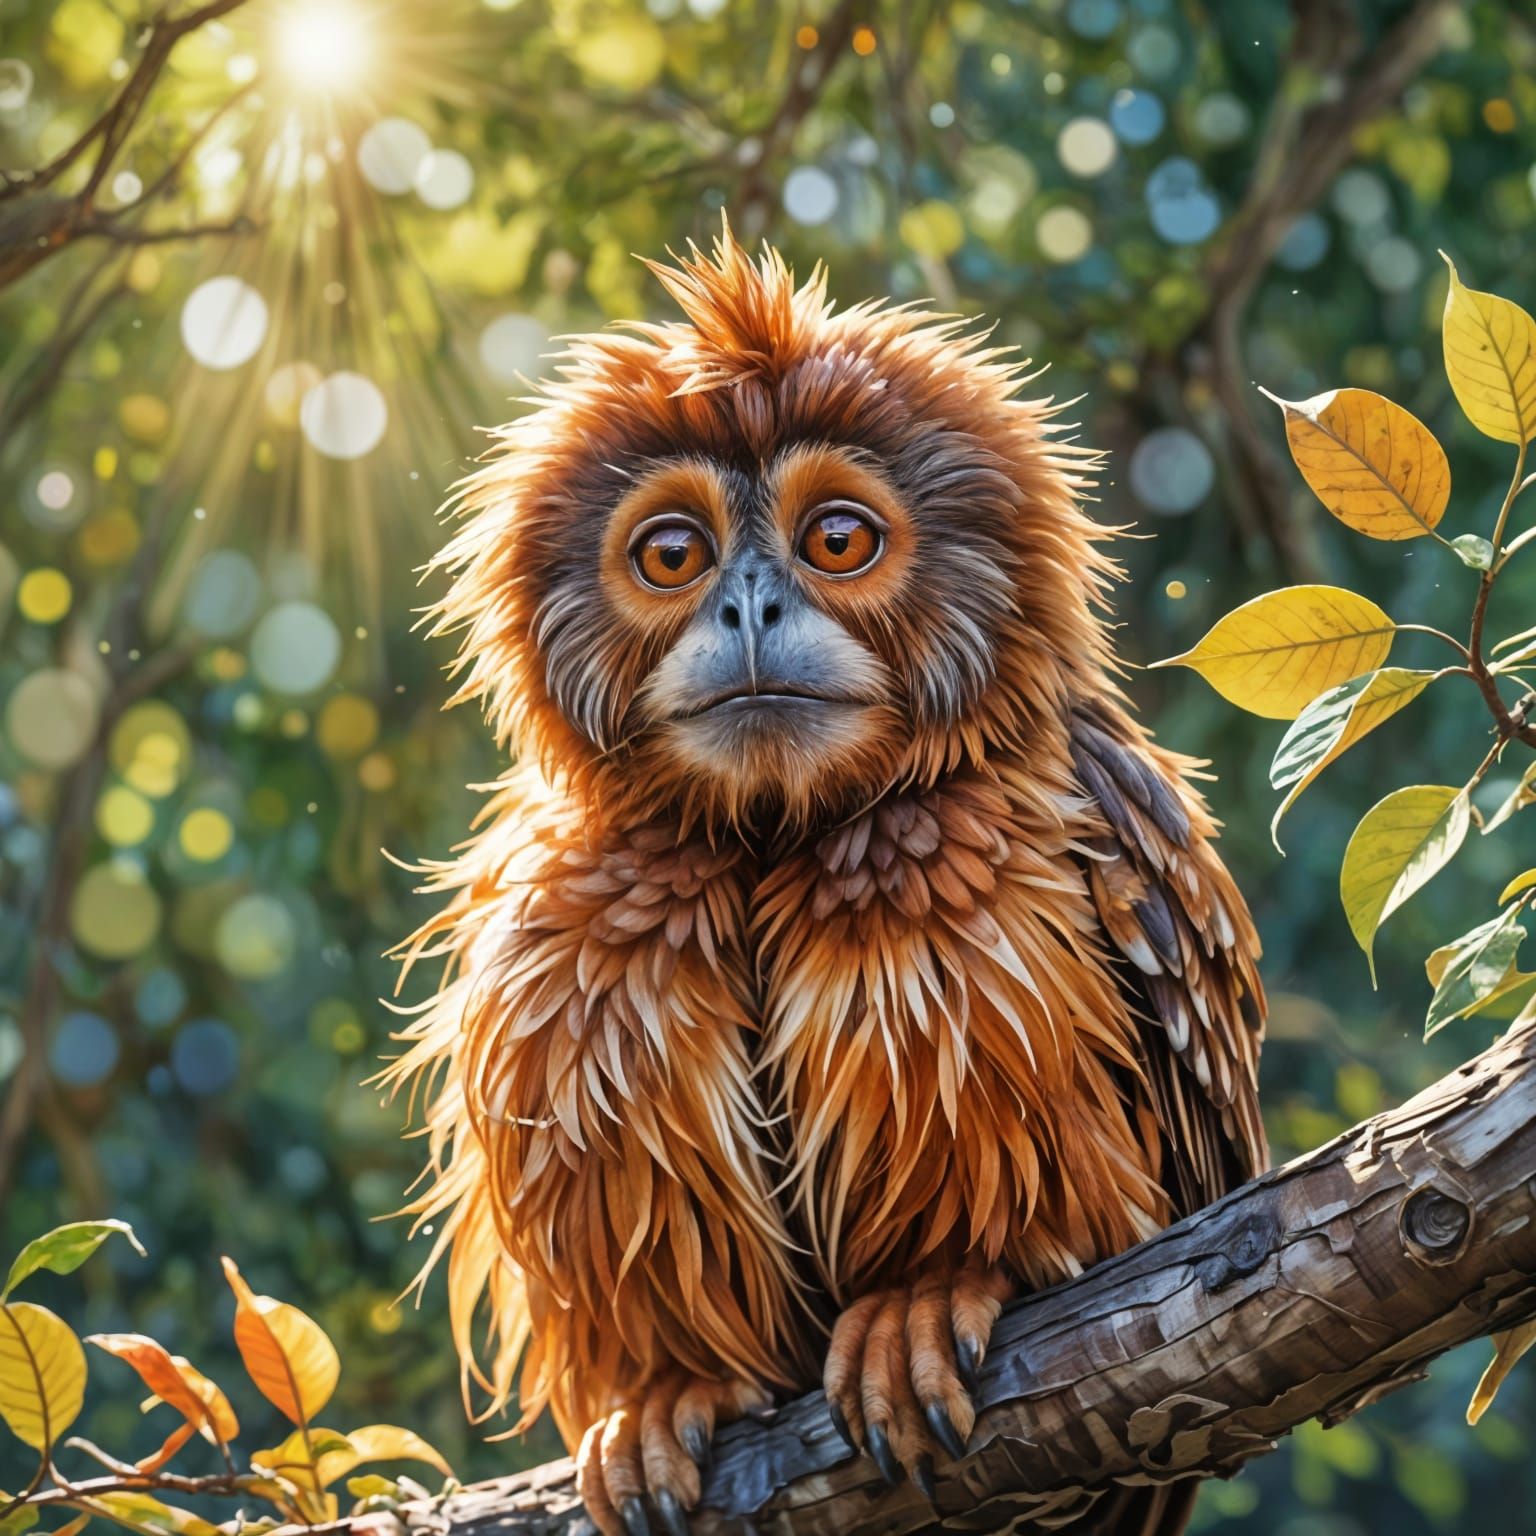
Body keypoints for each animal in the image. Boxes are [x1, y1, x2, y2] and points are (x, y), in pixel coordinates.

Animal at [385, 222, 1265, 1536]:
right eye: (673, 555)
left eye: (838, 541)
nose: (751, 606)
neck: (769, 833)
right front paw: (670, 1390)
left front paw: (932, 1291)